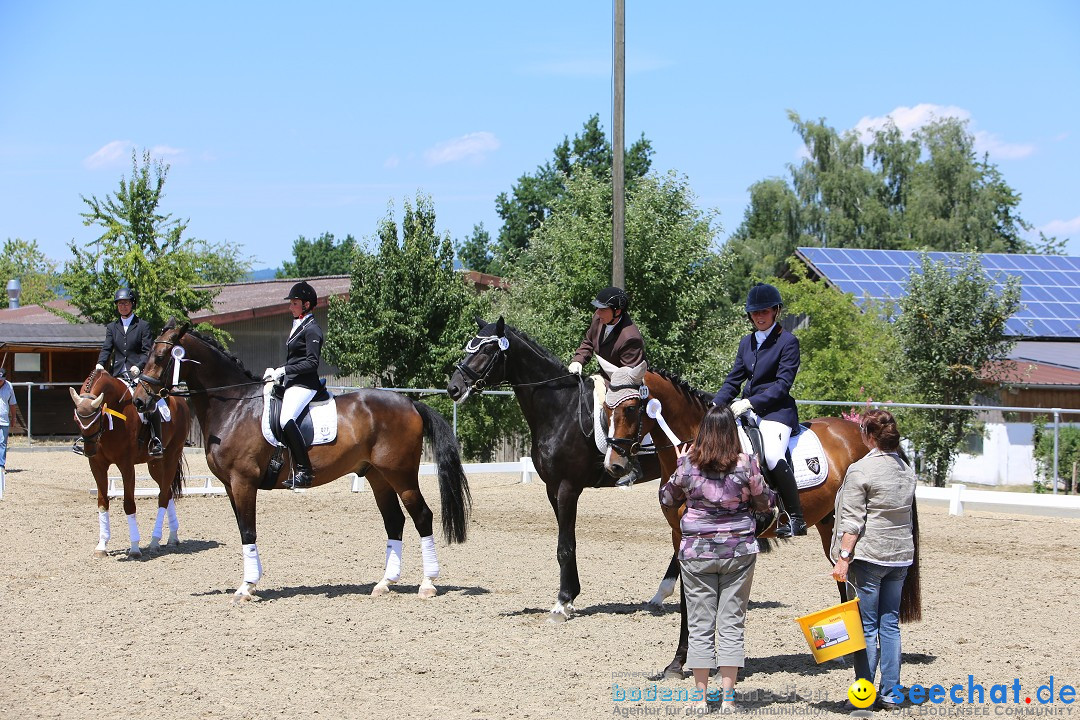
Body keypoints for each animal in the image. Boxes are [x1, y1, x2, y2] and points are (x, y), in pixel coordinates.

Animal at [69, 369, 190, 561]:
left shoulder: (126, 465)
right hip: (155, 465)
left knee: (163, 497)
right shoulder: (97, 465)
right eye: (76, 418)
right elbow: (102, 502)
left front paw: (134, 548)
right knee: (167, 491)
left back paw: (155, 542)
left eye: (97, 417)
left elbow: (129, 504)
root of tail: (180, 401)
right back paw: (172, 538)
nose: (89, 450)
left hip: (172, 456)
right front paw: (101, 546)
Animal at [130, 321, 468, 604]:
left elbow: (248, 531)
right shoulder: (229, 486)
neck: (234, 406)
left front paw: (246, 587)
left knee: (422, 516)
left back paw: (427, 584)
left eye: (161, 356)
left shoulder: (243, 481)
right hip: (378, 476)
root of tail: (410, 402)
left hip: (401, 475)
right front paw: (250, 583)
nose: (139, 401)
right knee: (394, 521)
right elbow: (243, 529)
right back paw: (385, 583)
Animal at [444, 315, 682, 669]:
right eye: (469, 347)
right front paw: (570, 599)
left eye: (486, 351)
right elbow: (567, 544)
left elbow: (564, 547)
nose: (454, 388)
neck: (559, 410)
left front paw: (561, 604)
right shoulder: (552, 489)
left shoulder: (569, 488)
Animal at [600, 367, 920, 677]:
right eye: (605, 409)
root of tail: (857, 431)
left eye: (631, 409)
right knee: (844, 580)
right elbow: (689, 601)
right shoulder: (681, 536)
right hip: (830, 524)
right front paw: (678, 664)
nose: (613, 464)